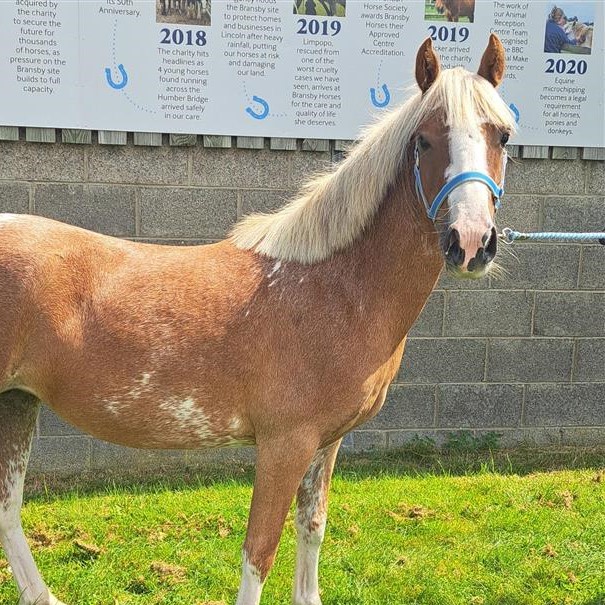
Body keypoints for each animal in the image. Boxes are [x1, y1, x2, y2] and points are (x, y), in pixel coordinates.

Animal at [0, 37, 516, 604]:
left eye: (503, 134)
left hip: (17, 402)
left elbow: (311, 528)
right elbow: (259, 553)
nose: (471, 242)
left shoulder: (325, 443)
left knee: (7, 510)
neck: (333, 285)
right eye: (423, 141)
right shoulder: (284, 444)